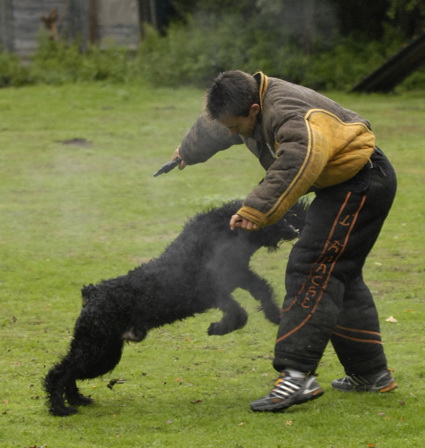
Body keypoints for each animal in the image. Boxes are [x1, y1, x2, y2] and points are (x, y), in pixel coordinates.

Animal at [44, 200, 304, 416]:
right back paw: (60, 408)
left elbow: (262, 291)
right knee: (59, 372)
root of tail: (91, 293)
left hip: (105, 351)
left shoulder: (239, 276)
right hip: (97, 347)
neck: (218, 236)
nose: (297, 213)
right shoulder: (211, 291)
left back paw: (76, 400)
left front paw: (276, 315)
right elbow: (239, 313)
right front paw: (218, 328)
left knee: (70, 371)